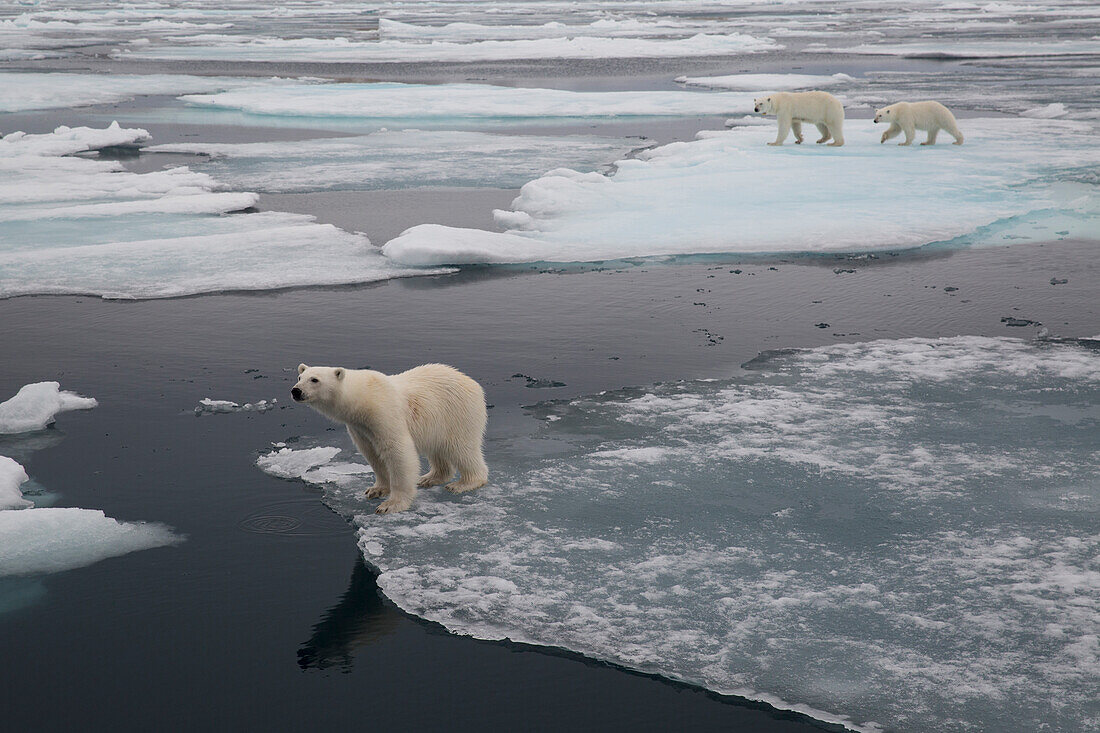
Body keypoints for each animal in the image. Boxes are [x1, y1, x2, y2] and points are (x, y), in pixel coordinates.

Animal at [290, 360, 488, 510]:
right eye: (300, 377)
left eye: (315, 379)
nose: (296, 391)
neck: (363, 399)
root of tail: (473, 383)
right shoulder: (360, 427)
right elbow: (372, 454)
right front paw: (375, 490)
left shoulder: (384, 414)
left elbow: (398, 452)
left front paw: (391, 505)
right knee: (437, 449)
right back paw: (430, 478)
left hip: (457, 413)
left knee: (461, 448)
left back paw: (463, 484)